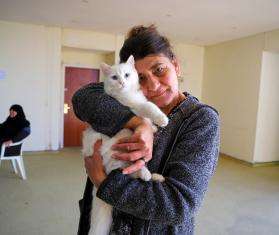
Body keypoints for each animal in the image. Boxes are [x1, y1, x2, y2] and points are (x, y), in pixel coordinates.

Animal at [82, 55, 166, 235]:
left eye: (127, 75)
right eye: (115, 77)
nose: (121, 82)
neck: (128, 95)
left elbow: (149, 114)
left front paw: (154, 127)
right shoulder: (136, 108)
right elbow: (150, 107)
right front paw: (161, 120)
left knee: (133, 173)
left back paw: (154, 176)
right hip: (120, 141)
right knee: (131, 169)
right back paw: (146, 174)